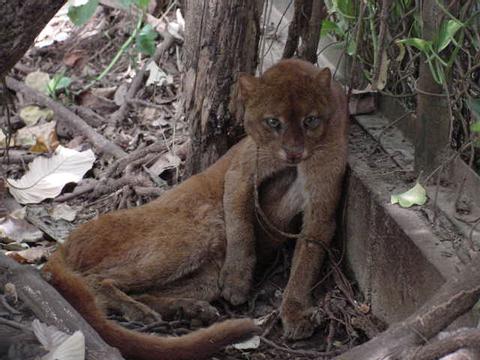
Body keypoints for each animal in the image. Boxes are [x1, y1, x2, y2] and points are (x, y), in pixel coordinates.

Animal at [43, 59, 346, 360]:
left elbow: (306, 262)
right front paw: (236, 281)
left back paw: (189, 310)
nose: (294, 152)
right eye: (273, 122)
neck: (293, 168)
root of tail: (66, 243)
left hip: (206, 276)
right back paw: (145, 312)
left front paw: (294, 312)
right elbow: (241, 229)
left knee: (140, 290)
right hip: (193, 237)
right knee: (96, 279)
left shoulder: (321, 209)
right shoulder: (239, 176)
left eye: (310, 120)